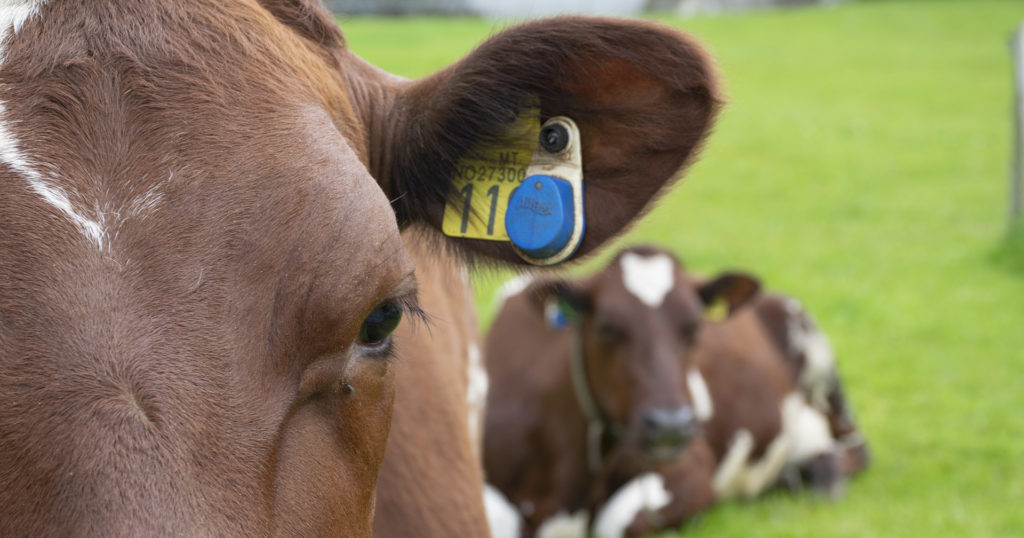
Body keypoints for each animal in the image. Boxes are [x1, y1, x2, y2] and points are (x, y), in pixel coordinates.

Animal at [479, 247, 864, 536]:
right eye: (607, 328)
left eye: (694, 328)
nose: (670, 426)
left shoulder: (691, 469)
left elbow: (616, 522)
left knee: (854, 449)